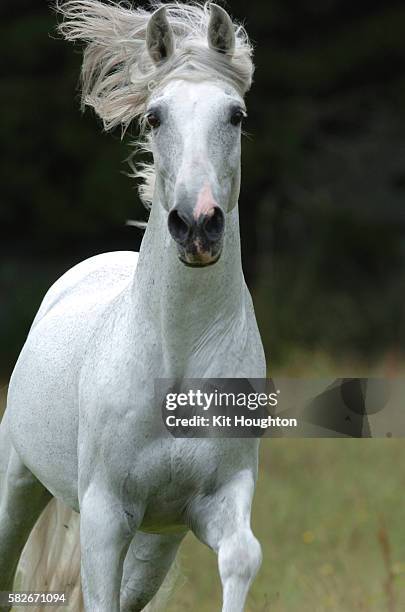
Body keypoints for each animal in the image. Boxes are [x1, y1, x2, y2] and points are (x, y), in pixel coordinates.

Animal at [0, 2, 266, 608]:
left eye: (236, 115)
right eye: (155, 118)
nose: (197, 225)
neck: (177, 360)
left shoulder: (218, 497)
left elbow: (242, 557)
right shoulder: (104, 518)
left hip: (153, 543)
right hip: (18, 484)